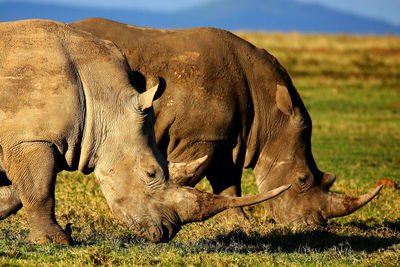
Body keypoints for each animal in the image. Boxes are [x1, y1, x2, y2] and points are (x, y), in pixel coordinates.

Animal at [0, 19, 290, 245]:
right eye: (151, 173)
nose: (167, 231)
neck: (102, 100)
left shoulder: (22, 139)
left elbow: (18, 189)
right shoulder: (32, 139)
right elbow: (40, 191)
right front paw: (55, 241)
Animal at [68, 17, 382, 226]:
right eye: (303, 179)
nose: (313, 226)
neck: (270, 112)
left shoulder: (229, 136)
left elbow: (228, 181)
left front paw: (240, 224)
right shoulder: (201, 137)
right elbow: (187, 177)